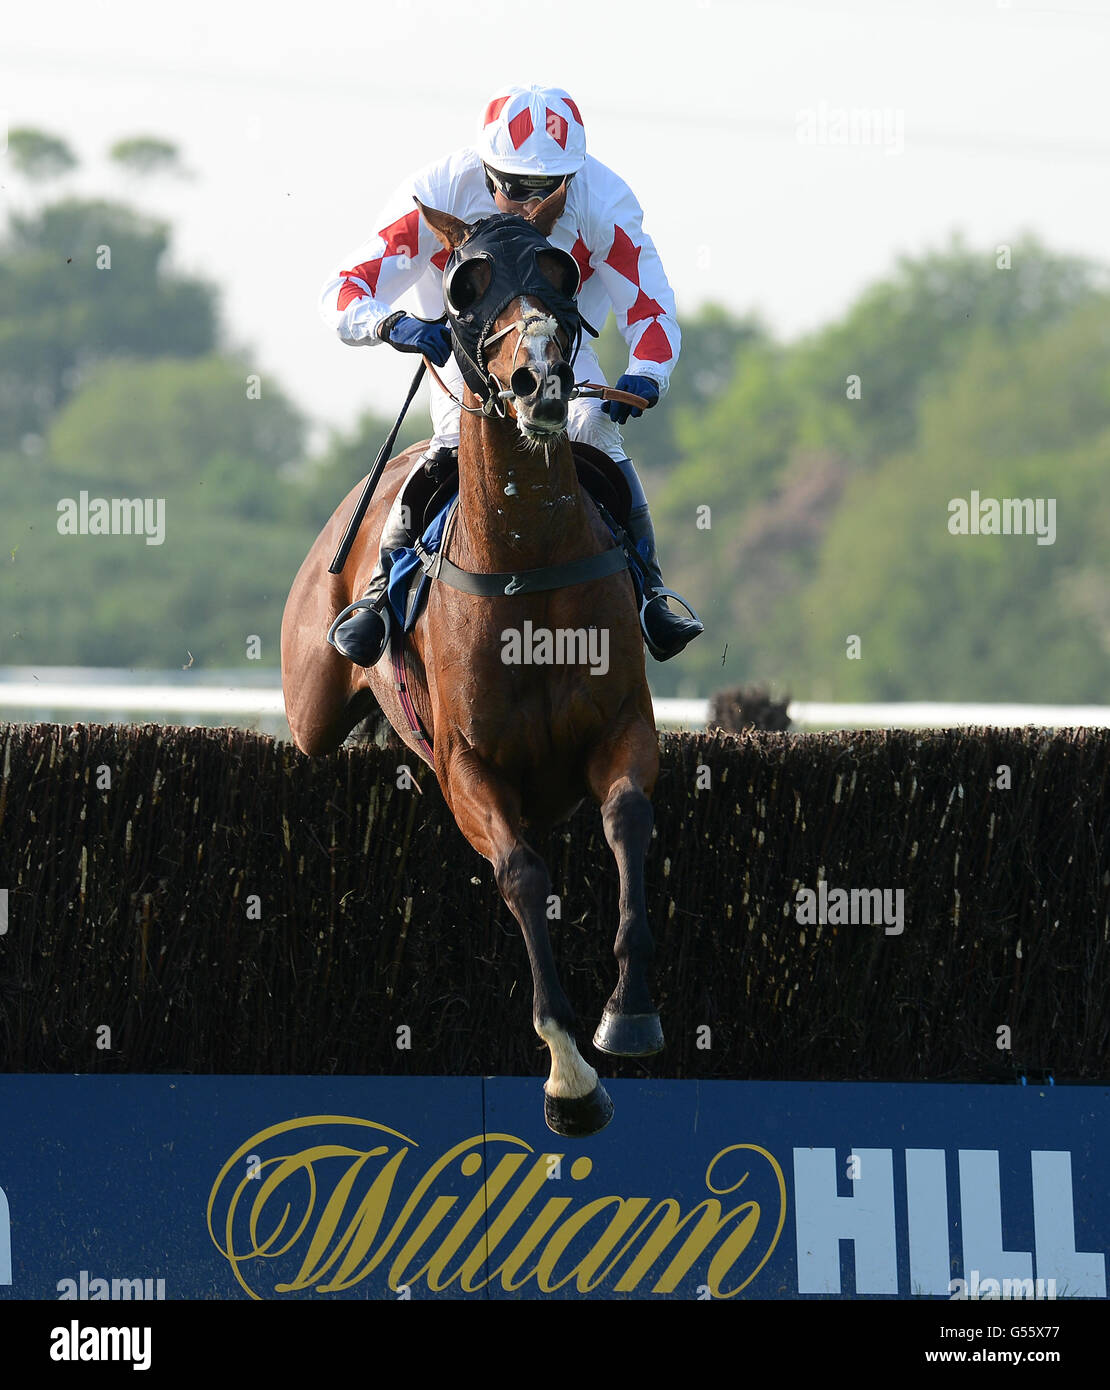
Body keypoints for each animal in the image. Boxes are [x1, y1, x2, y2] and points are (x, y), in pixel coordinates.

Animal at [282, 182, 664, 1139]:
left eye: (560, 274)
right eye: (465, 286)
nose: (538, 380)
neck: (525, 562)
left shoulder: (622, 730)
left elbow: (628, 818)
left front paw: (628, 1012)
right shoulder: (466, 768)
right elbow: (521, 874)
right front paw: (568, 1073)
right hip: (311, 708)